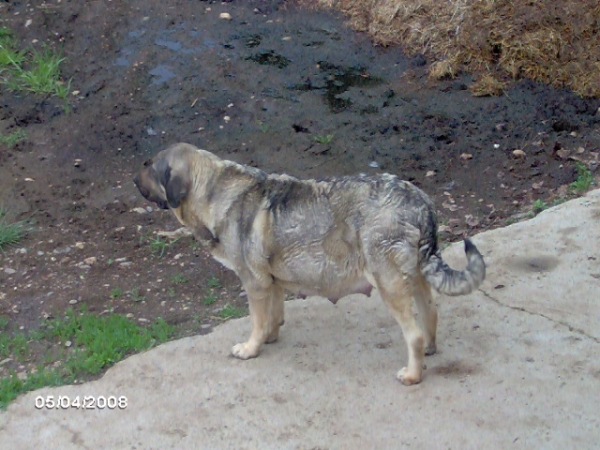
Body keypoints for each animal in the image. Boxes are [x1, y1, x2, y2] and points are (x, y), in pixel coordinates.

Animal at [134, 142, 486, 384]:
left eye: (149, 167)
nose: (134, 180)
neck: (213, 190)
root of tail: (420, 202)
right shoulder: (271, 281)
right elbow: (273, 315)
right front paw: (270, 336)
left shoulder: (254, 283)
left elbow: (256, 320)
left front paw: (251, 348)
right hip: (416, 277)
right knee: (430, 313)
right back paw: (429, 350)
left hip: (389, 283)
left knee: (412, 334)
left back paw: (413, 374)